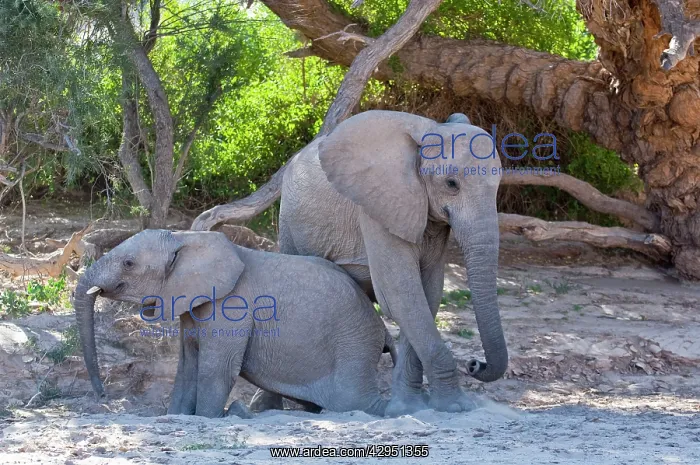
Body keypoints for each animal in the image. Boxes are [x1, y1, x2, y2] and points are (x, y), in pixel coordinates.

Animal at [74, 229, 396, 418]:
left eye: (128, 263)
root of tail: (381, 328)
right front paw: (176, 416)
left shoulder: (231, 305)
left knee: (354, 403)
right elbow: (188, 366)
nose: (102, 395)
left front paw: (205, 418)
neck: (184, 237)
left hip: (353, 343)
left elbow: (216, 368)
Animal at [250, 110, 507, 415]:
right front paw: (454, 406)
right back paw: (267, 408)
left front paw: (408, 406)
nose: (474, 364)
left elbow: (427, 294)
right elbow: (399, 295)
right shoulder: (376, 211)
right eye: (451, 184)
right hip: (288, 222)